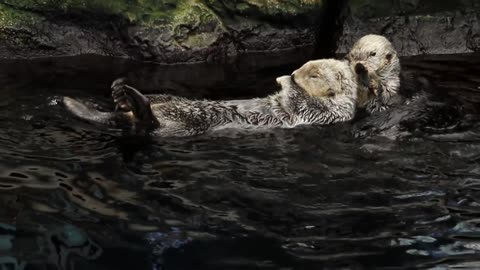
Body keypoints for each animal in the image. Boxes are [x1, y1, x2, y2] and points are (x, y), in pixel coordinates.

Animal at [64, 58, 364, 136]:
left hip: (179, 124)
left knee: (147, 124)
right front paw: (282, 79)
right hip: (170, 99)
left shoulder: (320, 113)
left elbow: (298, 102)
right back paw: (119, 90)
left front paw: (286, 81)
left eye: (313, 75)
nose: (292, 72)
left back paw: (131, 99)